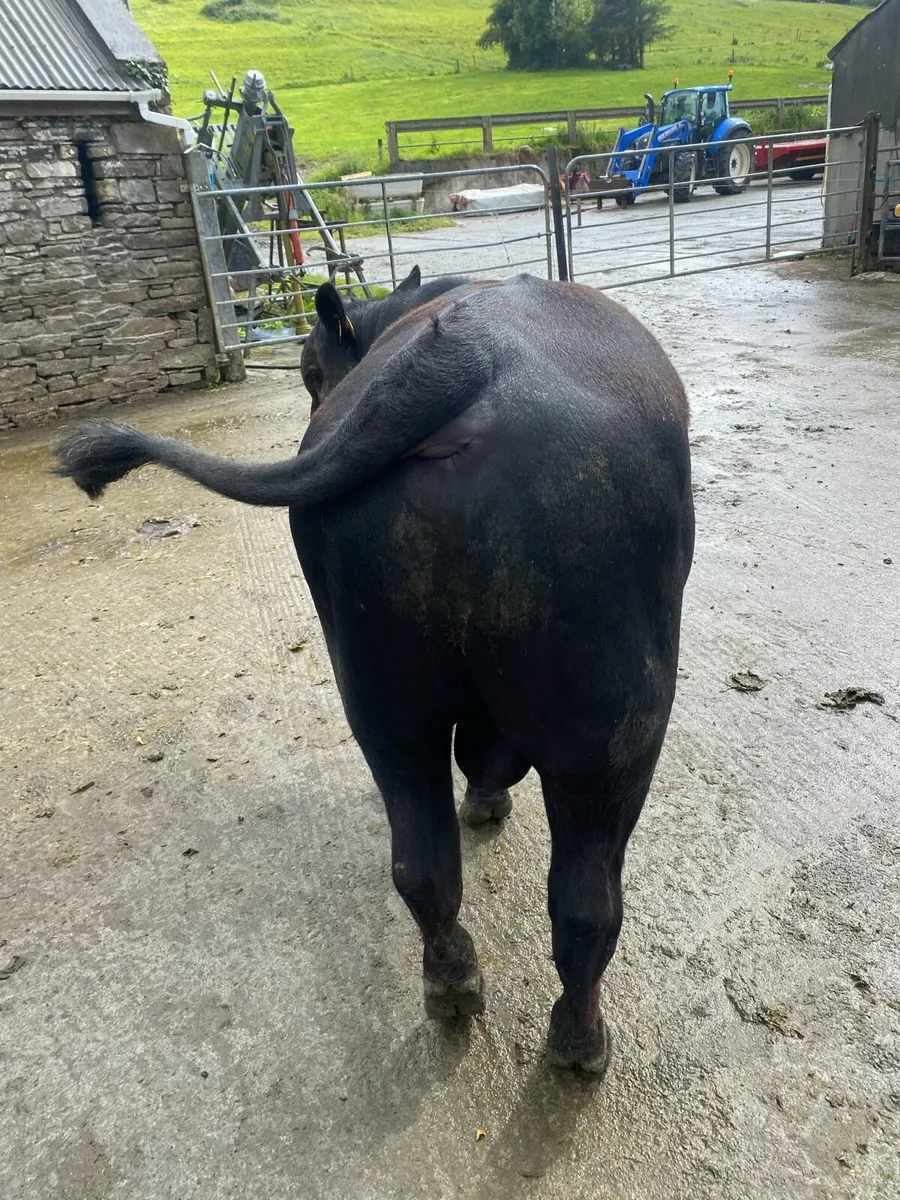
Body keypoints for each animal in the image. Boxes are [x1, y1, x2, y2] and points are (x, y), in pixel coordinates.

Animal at [53, 268, 694, 1075]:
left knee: (421, 865)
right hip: (612, 732)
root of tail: (458, 358)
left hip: (384, 703)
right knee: (585, 905)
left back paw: (451, 986)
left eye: (306, 370)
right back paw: (580, 1043)